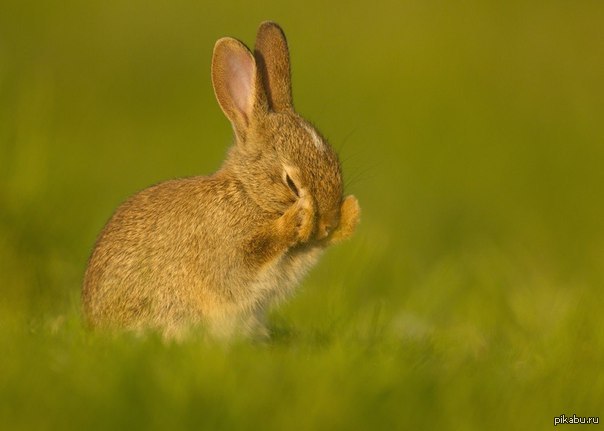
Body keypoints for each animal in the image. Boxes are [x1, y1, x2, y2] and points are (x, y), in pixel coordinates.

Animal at [82, 22, 360, 340]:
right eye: (290, 182)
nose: (327, 223)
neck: (248, 195)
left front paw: (350, 215)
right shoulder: (229, 254)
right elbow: (255, 253)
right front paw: (298, 218)